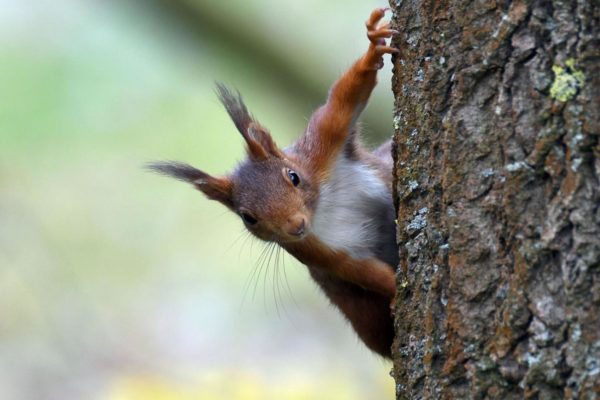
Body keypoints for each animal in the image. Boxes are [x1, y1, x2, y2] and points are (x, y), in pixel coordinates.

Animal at [149, 7, 400, 358]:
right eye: (248, 218)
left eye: (293, 177)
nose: (295, 224)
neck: (321, 208)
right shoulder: (313, 250)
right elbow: (362, 272)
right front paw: (397, 290)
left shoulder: (321, 148)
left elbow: (342, 102)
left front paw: (373, 45)